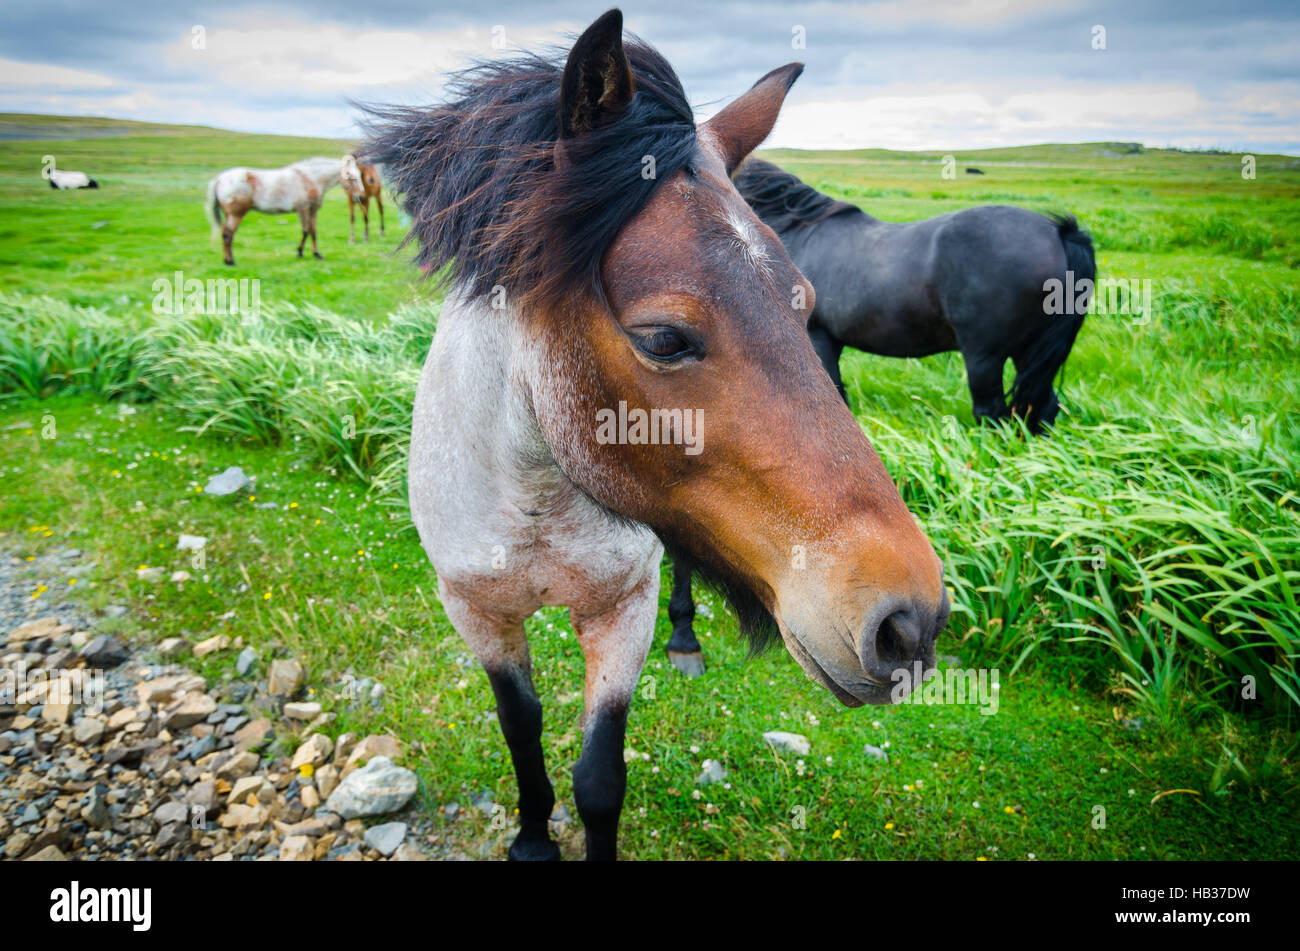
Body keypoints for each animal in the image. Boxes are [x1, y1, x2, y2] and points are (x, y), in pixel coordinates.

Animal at [361, 11, 951, 862]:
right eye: (665, 339)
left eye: (804, 303)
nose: (910, 621)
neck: (533, 499)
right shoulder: (477, 615)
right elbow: (520, 727)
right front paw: (532, 834)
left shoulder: (623, 611)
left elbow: (600, 776)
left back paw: (687, 638)